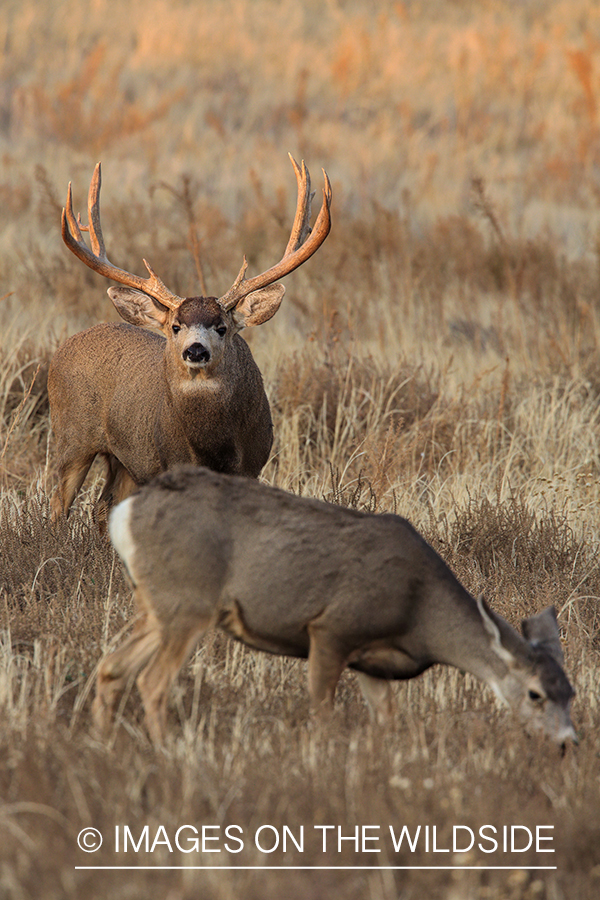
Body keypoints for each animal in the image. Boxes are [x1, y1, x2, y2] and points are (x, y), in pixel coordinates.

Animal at [48, 156, 331, 527]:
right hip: (72, 436)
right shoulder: (171, 464)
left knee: (103, 506)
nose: (195, 350)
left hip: (125, 460)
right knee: (58, 502)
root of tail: (61, 351)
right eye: (175, 326)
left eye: (222, 327)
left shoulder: (251, 466)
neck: (213, 448)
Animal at [93, 465, 577, 748]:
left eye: (571, 693)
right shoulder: (332, 629)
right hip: (189, 600)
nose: (569, 742)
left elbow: (386, 721)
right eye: (535, 693)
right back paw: (168, 752)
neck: (419, 614)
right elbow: (322, 712)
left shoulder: (373, 664)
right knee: (152, 681)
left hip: (157, 603)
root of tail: (125, 513)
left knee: (112, 667)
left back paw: (107, 747)